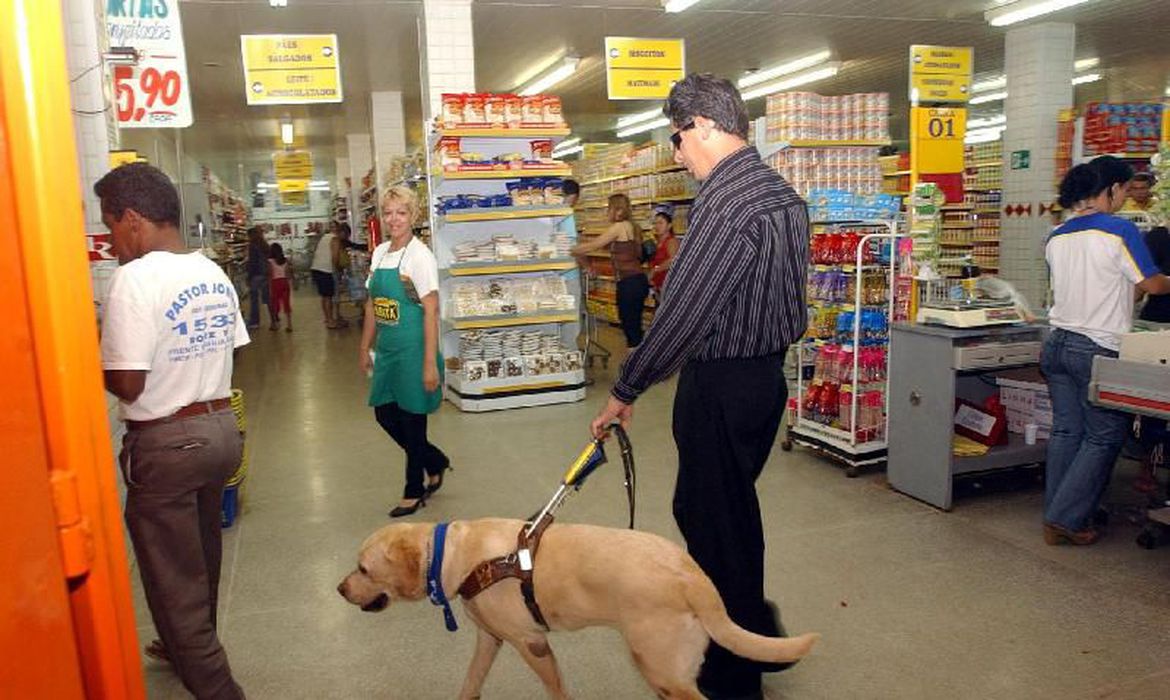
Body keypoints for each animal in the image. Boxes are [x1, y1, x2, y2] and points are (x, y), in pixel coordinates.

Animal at [336, 517, 814, 697]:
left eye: (362, 568)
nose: (339, 589)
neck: (455, 554)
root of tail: (692, 576)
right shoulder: (489, 639)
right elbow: (470, 683)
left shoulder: (532, 644)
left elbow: (557, 690)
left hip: (659, 665)